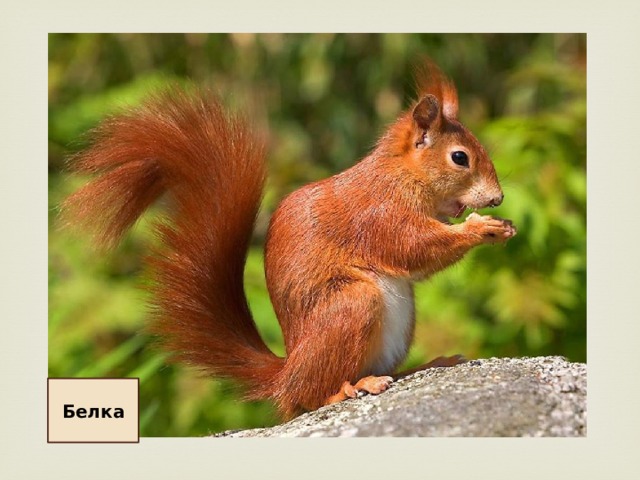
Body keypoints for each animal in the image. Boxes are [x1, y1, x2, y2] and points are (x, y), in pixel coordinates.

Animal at [63, 60, 516, 419]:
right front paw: (482, 228)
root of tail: (286, 372)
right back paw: (349, 389)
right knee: (306, 398)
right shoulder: (378, 214)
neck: (401, 174)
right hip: (352, 305)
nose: (497, 198)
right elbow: (413, 248)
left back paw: (417, 368)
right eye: (460, 158)